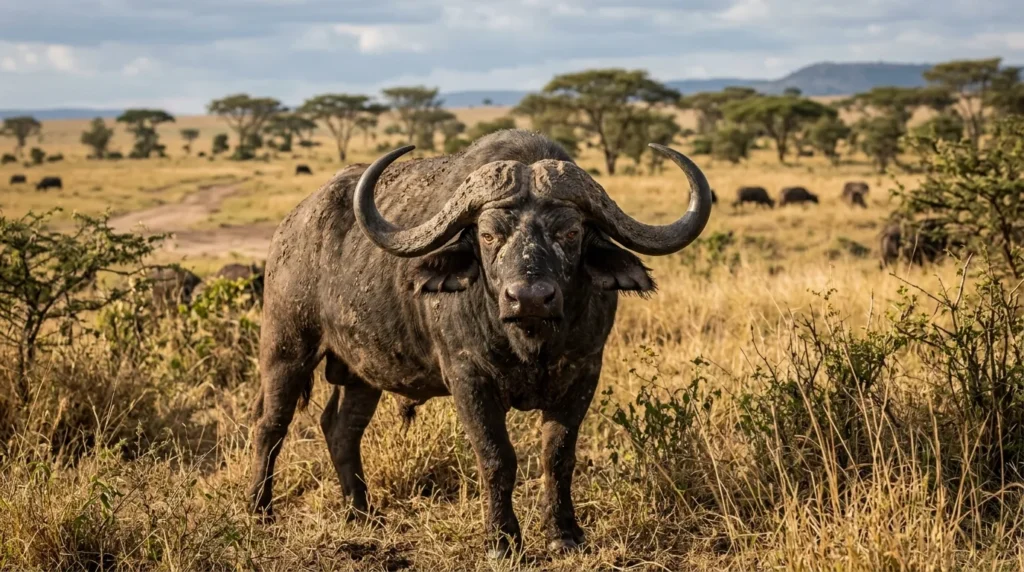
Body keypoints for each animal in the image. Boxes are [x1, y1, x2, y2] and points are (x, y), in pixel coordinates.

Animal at [247, 130, 713, 558]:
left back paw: (362, 512)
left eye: (569, 232)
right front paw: (502, 540)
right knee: (271, 425)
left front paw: (564, 535)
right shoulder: (468, 379)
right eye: (489, 235)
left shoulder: (583, 374)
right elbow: (497, 456)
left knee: (341, 428)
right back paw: (259, 508)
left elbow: (558, 456)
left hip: (363, 371)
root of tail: (292, 225)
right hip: (285, 348)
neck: (528, 341)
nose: (529, 297)